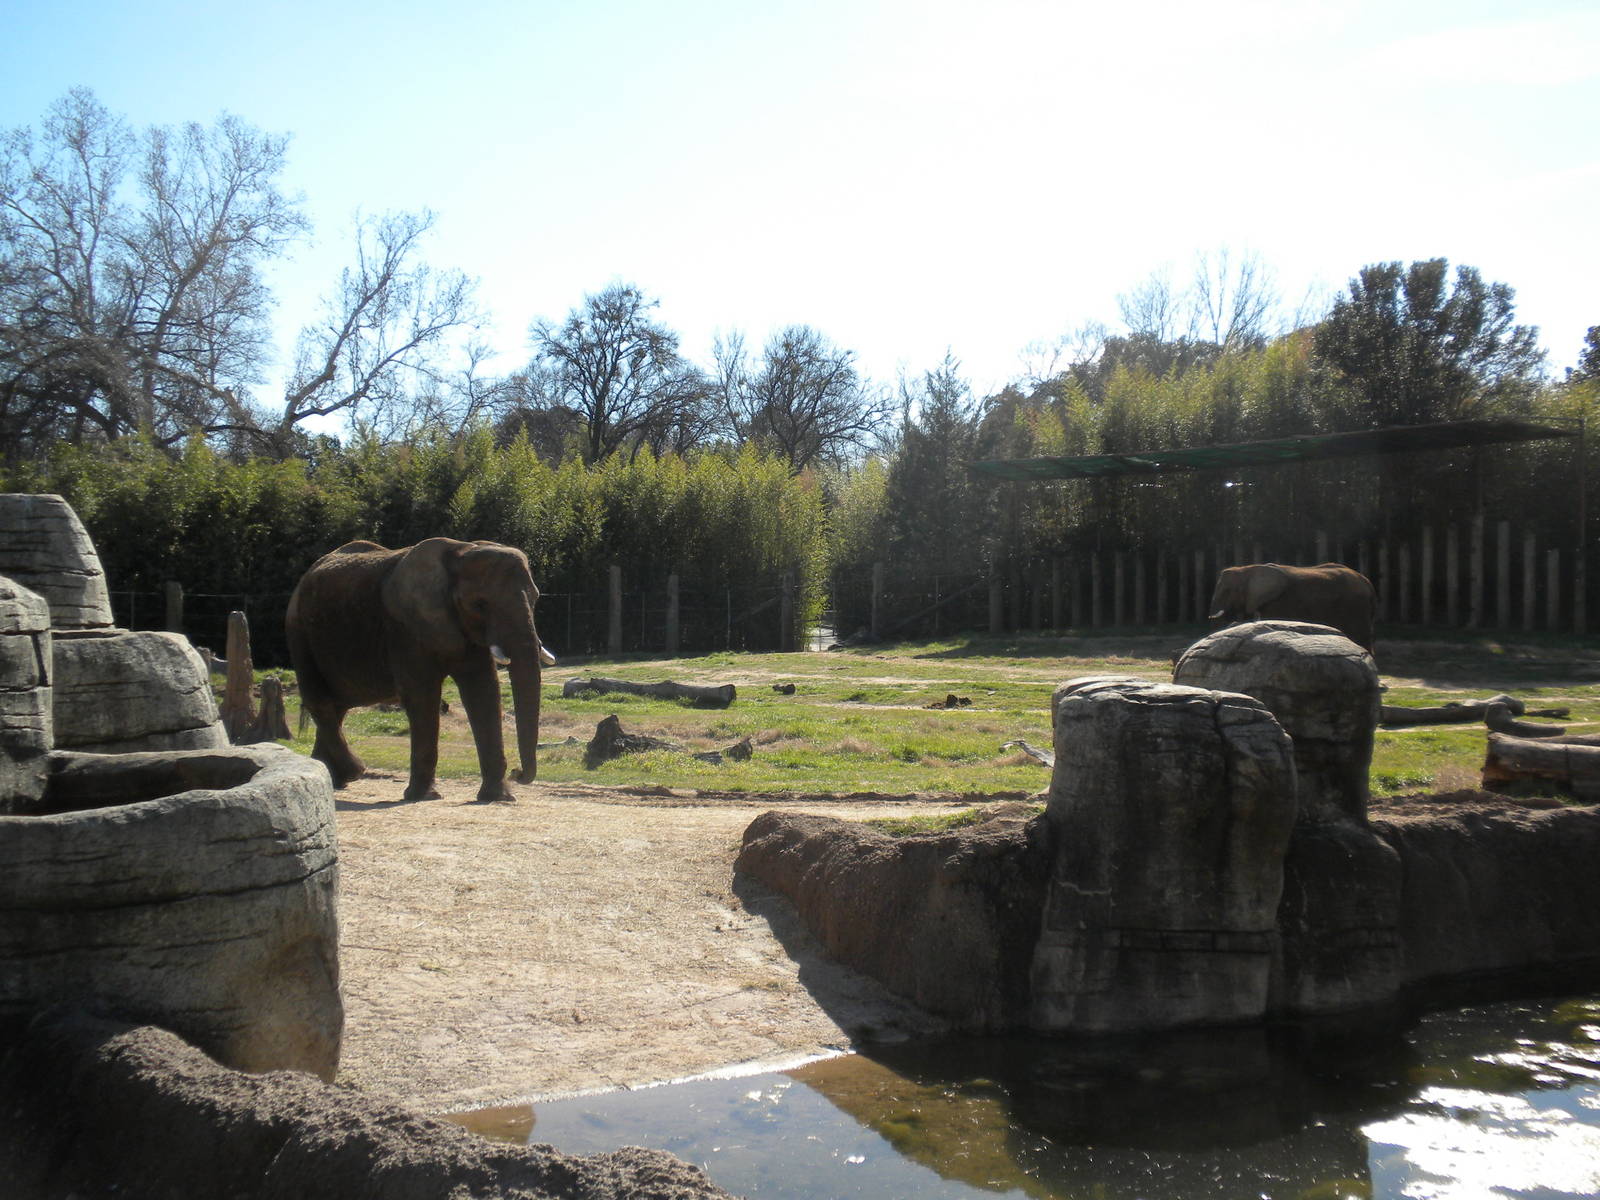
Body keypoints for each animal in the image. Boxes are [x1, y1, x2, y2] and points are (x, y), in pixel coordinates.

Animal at [286, 538, 554, 803]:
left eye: (535, 598)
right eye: (480, 604)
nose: (517, 772)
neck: (463, 550)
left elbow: (484, 692)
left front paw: (498, 798)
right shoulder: (404, 628)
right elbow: (422, 695)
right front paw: (424, 796)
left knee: (337, 707)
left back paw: (333, 779)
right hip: (299, 632)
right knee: (319, 702)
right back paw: (353, 771)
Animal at [1207, 562, 1377, 654]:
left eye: (1228, 591)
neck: (1247, 569)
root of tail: (1367, 582)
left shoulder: (1276, 602)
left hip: (1356, 606)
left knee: (1360, 635)